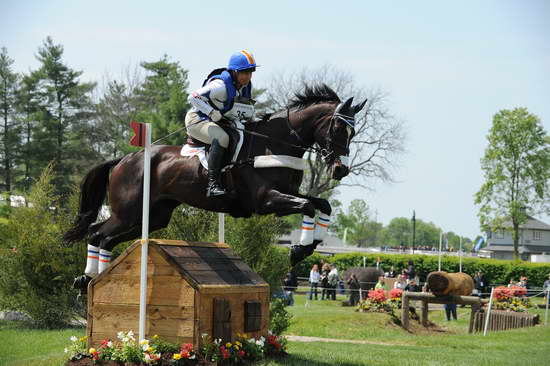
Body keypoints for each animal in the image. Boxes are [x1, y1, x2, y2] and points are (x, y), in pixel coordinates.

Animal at [66, 83, 366, 292]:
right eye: (338, 128)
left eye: (353, 132)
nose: (341, 169)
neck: (274, 143)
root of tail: (124, 159)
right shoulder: (266, 200)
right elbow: (307, 206)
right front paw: (299, 250)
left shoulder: (286, 195)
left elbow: (321, 204)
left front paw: (311, 243)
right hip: (128, 212)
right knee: (97, 233)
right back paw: (87, 278)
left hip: (153, 217)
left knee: (106, 238)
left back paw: (90, 278)